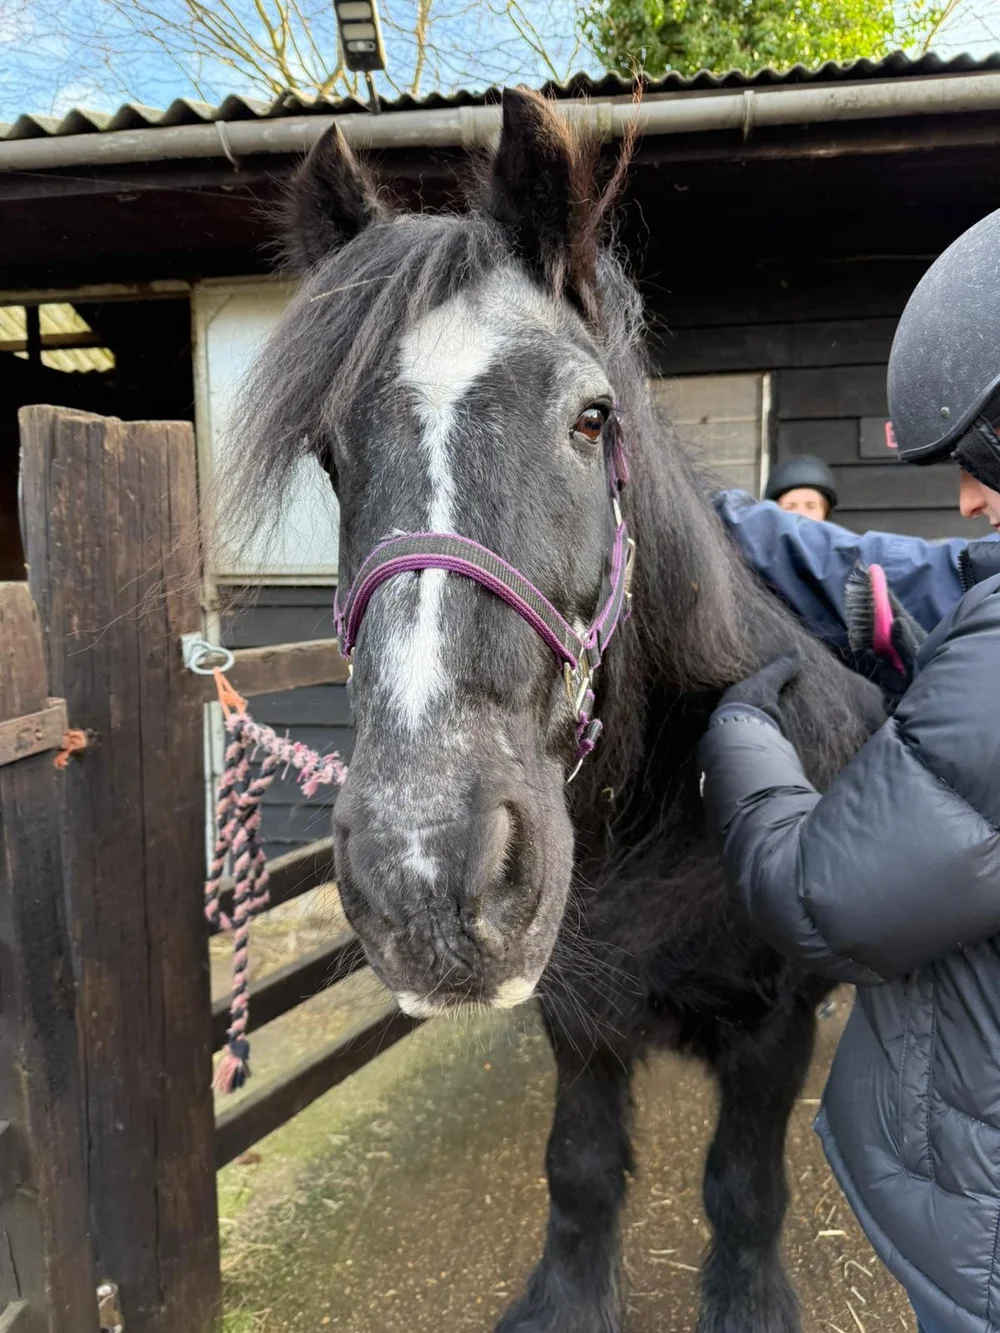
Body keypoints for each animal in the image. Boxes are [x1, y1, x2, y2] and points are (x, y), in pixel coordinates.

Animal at [234, 87, 883, 1333]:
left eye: (590, 419)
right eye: (330, 453)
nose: (426, 875)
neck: (666, 811)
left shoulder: (771, 1026)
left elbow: (741, 1185)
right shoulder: (576, 1012)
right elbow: (578, 1171)